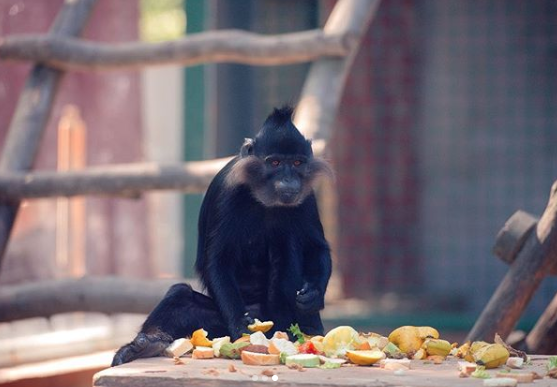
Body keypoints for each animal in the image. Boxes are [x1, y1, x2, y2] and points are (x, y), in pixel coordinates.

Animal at [111, 106, 332, 366]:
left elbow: (317, 247)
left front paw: (313, 295)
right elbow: (217, 261)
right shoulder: (228, 192)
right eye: (275, 162)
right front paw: (241, 331)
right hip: (217, 323)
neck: (265, 201)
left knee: (286, 242)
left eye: (297, 162)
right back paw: (146, 345)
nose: (289, 180)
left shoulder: (306, 196)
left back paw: (305, 329)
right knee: (180, 295)